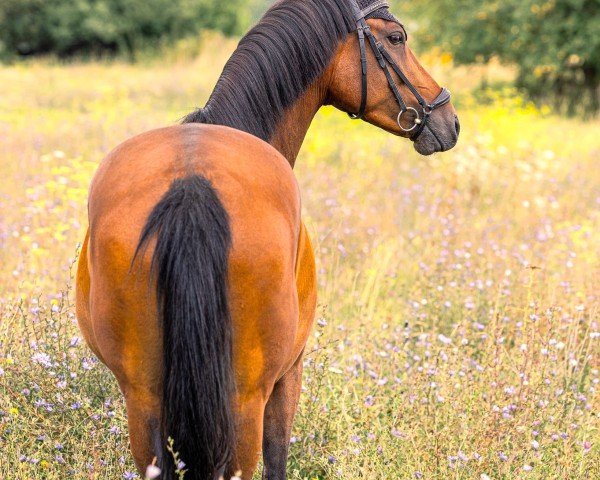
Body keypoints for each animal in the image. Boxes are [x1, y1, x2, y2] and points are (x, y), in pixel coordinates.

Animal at [76, 0, 460, 478]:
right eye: (396, 39)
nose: (449, 119)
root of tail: (192, 184)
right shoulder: (289, 373)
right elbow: (278, 455)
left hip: (144, 398)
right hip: (244, 402)